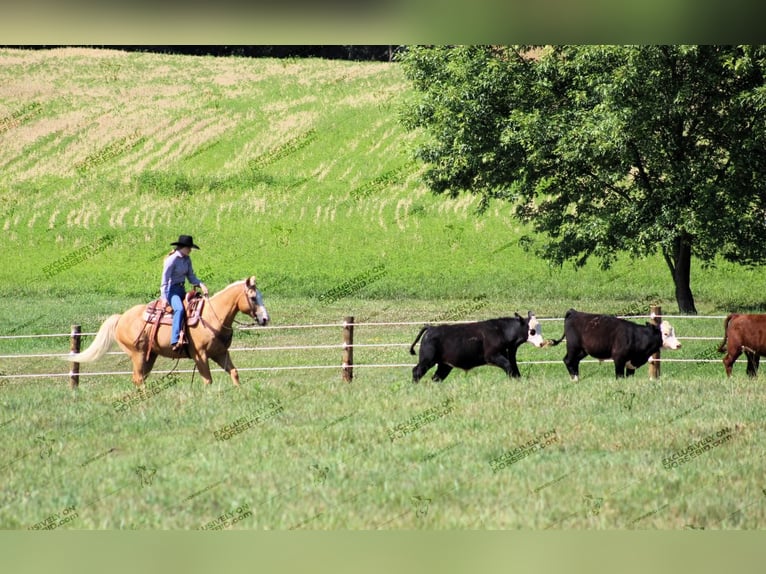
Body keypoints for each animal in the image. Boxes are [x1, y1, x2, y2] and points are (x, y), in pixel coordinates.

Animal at [66, 278, 272, 390]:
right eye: (253, 297)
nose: (265, 319)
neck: (212, 317)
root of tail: (121, 317)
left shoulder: (220, 353)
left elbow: (234, 373)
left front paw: (240, 392)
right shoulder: (200, 355)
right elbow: (207, 380)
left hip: (149, 356)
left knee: (140, 378)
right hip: (137, 353)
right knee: (138, 378)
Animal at [408, 312, 544, 384]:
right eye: (532, 331)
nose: (542, 343)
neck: (501, 331)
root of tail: (431, 327)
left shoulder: (510, 354)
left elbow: (515, 369)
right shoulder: (493, 356)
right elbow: (509, 367)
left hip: (444, 365)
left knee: (436, 377)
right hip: (427, 359)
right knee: (417, 371)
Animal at [548, 310, 680, 382]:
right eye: (665, 334)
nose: (679, 345)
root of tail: (574, 312)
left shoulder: (631, 364)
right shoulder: (619, 359)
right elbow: (619, 376)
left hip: (582, 351)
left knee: (575, 361)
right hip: (573, 347)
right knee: (568, 360)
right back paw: (574, 379)